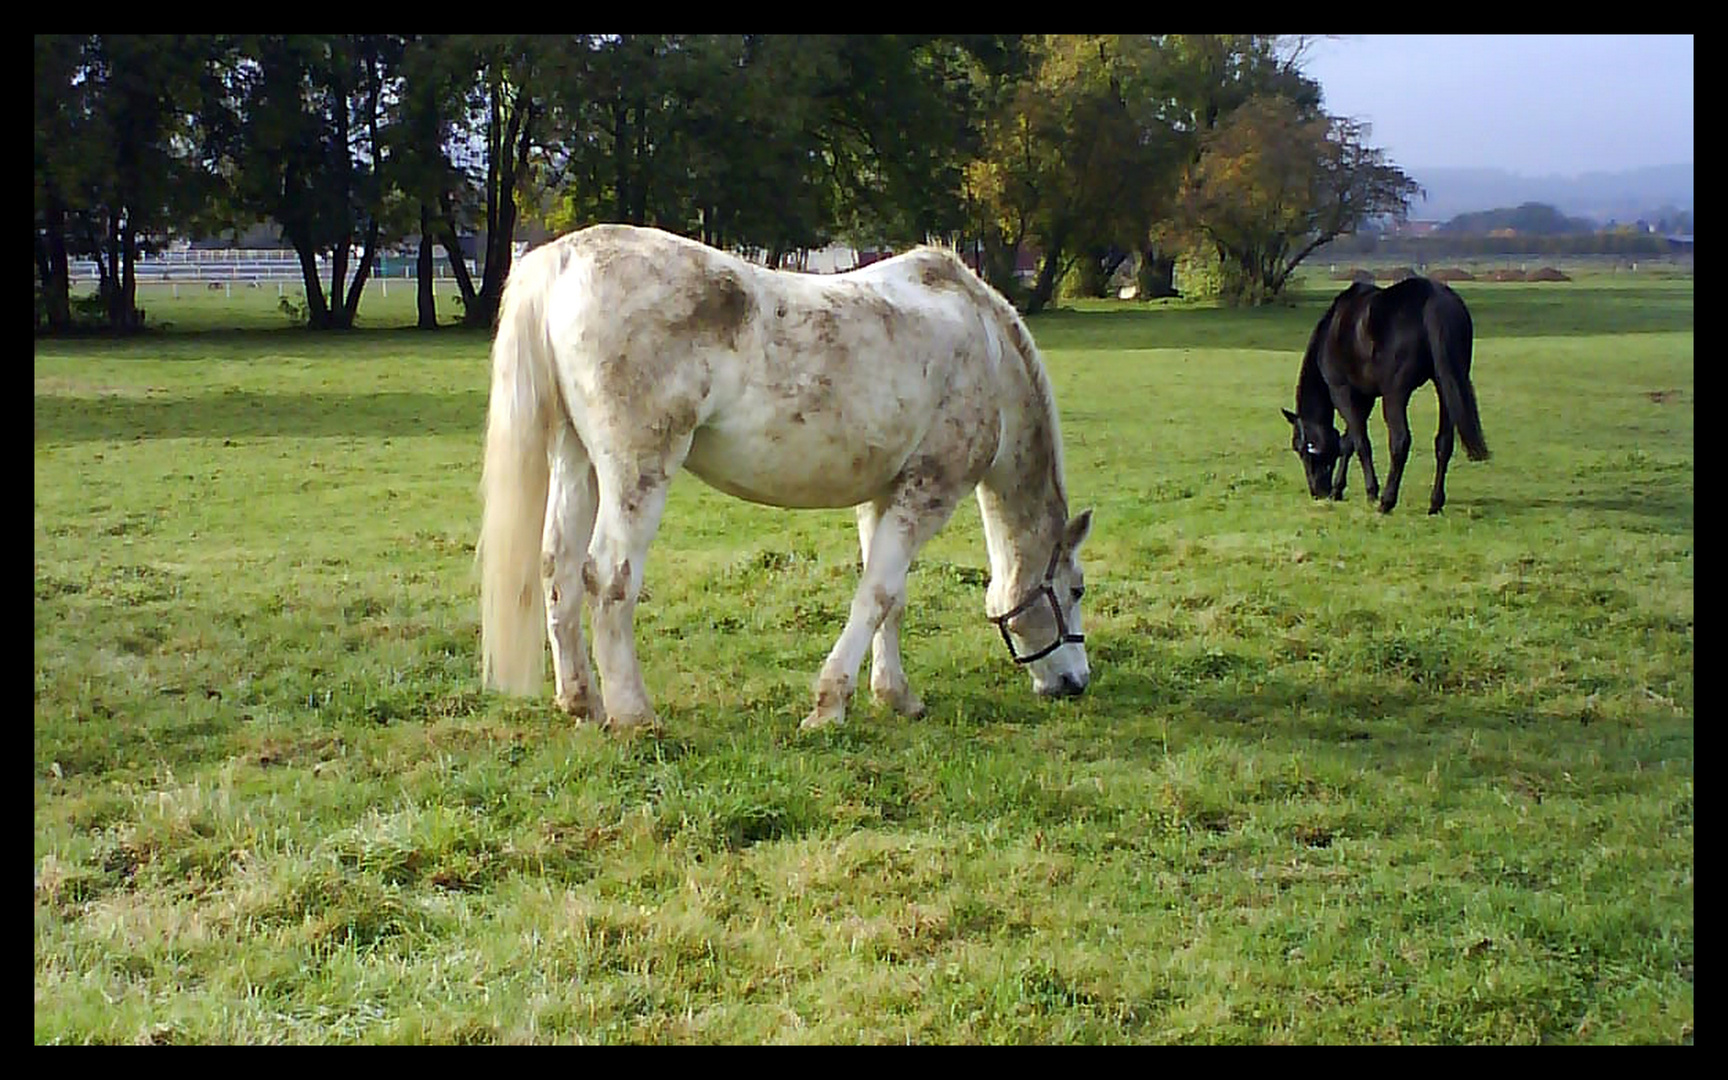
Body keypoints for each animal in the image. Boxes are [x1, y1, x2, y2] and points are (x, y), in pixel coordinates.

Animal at [473, 222, 1092, 729]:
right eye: (1077, 588)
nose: (1075, 683)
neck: (984, 346)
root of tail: (564, 259)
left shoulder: (883, 496)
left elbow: (891, 598)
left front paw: (894, 694)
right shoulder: (928, 495)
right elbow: (876, 595)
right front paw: (830, 705)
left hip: (577, 462)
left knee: (559, 569)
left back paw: (582, 702)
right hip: (636, 471)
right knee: (607, 577)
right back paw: (634, 715)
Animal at [1278, 278, 1492, 514]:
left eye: (1301, 448)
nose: (1317, 492)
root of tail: (1432, 297)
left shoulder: (1342, 391)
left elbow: (1359, 442)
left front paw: (1369, 492)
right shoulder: (1365, 397)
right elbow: (1349, 441)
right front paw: (1338, 489)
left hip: (1395, 395)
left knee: (1400, 441)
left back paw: (1387, 501)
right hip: (1446, 386)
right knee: (1444, 443)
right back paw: (1435, 503)